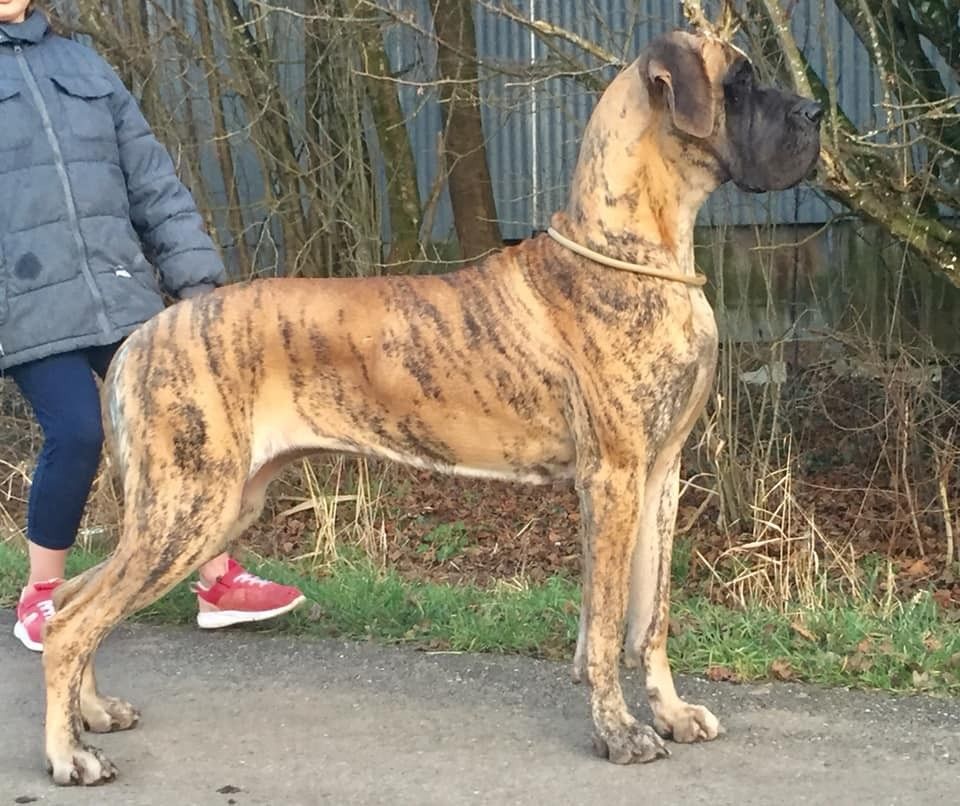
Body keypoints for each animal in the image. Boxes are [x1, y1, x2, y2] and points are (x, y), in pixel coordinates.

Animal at [40, 30, 822, 784]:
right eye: (740, 82)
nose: (816, 112)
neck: (636, 250)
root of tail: (140, 338)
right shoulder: (615, 479)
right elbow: (604, 626)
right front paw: (620, 733)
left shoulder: (659, 478)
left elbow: (648, 617)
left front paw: (671, 713)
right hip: (188, 508)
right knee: (70, 624)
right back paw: (70, 754)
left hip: (210, 507)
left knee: (73, 600)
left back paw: (95, 713)